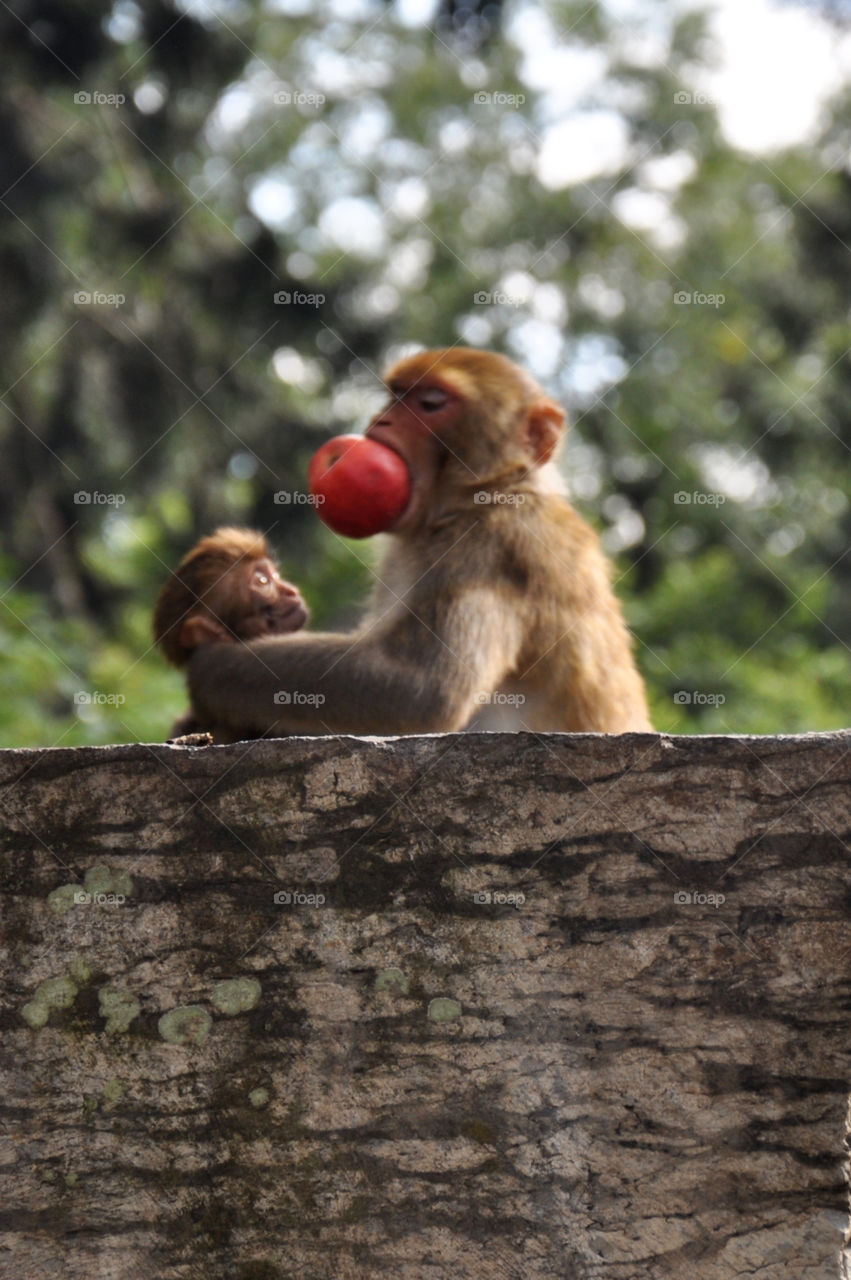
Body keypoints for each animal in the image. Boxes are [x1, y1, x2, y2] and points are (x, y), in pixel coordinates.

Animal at [185, 345, 650, 737]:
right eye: (395, 397)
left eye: (430, 403)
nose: (380, 422)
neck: (480, 497)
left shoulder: (491, 550)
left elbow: (422, 689)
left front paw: (208, 669)